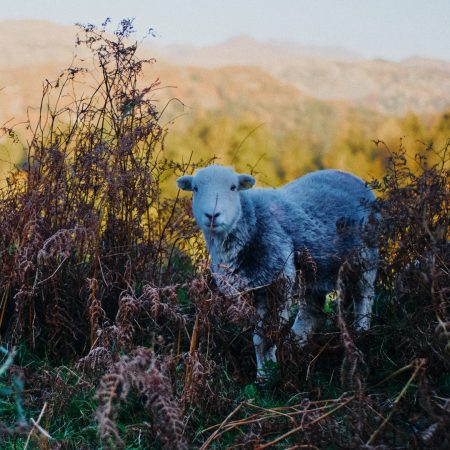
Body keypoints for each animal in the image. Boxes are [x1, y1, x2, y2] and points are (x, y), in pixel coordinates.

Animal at [178, 165, 378, 380]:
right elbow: (259, 337)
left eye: (233, 187)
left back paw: (361, 332)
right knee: (312, 311)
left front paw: (268, 376)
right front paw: (264, 373)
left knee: (364, 296)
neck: (251, 221)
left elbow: (264, 337)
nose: (212, 215)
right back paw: (296, 343)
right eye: (195, 188)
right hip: (314, 271)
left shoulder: (278, 280)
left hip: (365, 256)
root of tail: (350, 176)